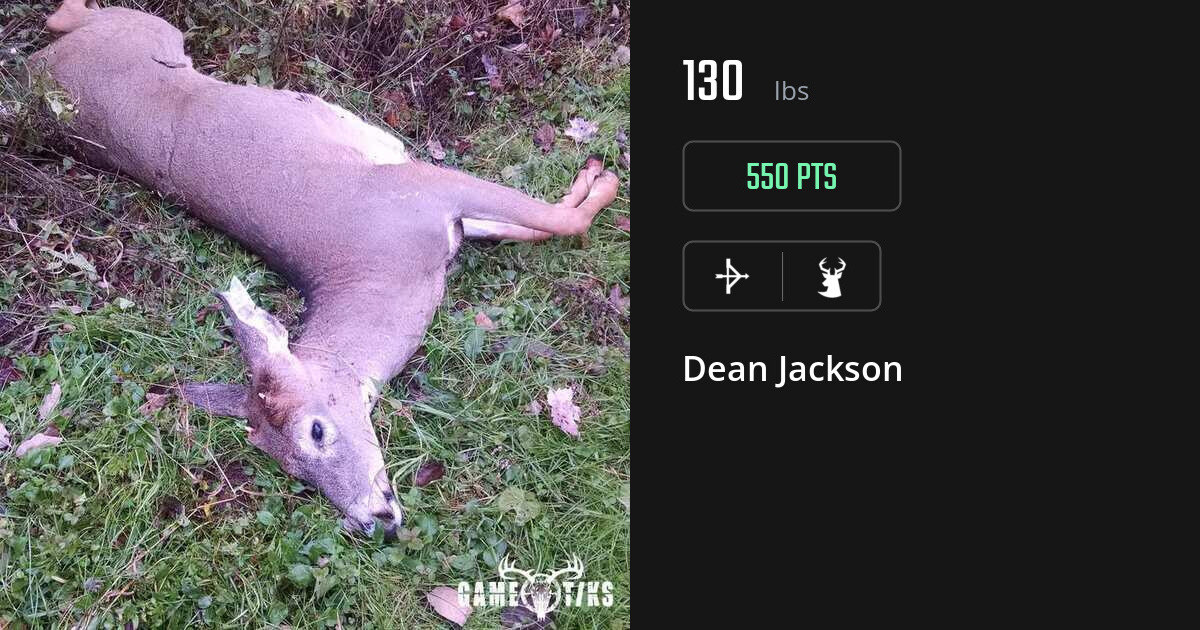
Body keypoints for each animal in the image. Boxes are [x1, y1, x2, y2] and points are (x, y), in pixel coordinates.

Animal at [28, 1, 621, 537]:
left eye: (315, 431)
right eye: (291, 470)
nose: (373, 520)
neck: (379, 270)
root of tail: (37, 75)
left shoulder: (426, 188)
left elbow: (554, 219)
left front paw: (602, 175)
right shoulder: (434, 209)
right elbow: (542, 223)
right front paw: (595, 177)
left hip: (150, 29)